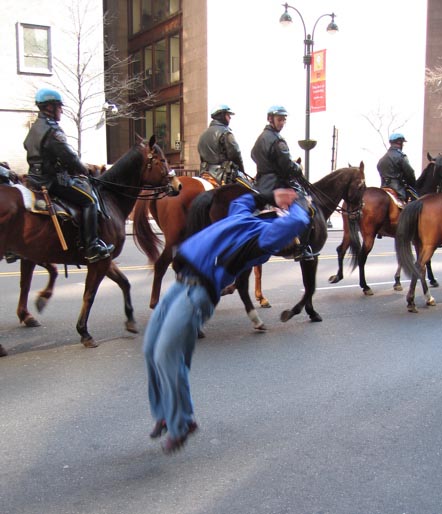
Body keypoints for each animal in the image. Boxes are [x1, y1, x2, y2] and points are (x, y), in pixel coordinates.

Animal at [0, 136, 181, 357]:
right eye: (162, 160)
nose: (178, 185)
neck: (110, 199)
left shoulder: (104, 257)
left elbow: (124, 283)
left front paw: (130, 320)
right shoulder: (98, 261)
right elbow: (89, 294)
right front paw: (84, 333)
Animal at [178, 164, 366, 329]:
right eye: (362, 186)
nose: (358, 213)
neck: (317, 204)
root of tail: (214, 194)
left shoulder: (307, 257)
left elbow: (308, 285)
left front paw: (310, 312)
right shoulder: (311, 255)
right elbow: (310, 286)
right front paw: (294, 312)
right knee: (237, 283)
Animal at [328, 154, 442, 294]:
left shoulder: (403, 237)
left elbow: (401, 258)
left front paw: (397, 281)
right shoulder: (419, 239)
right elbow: (425, 261)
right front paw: (432, 279)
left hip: (348, 231)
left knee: (341, 249)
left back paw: (338, 276)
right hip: (369, 235)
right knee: (361, 257)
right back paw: (365, 286)